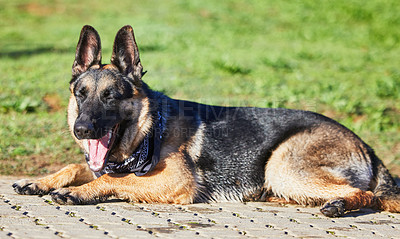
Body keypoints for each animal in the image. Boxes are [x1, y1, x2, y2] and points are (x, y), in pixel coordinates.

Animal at [12, 24, 400, 217]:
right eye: (81, 94)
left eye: (111, 96)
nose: (82, 129)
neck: (150, 130)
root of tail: (366, 145)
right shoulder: (103, 163)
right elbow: (76, 168)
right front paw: (40, 181)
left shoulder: (174, 183)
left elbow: (115, 181)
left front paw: (77, 192)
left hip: (282, 166)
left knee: (366, 194)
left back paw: (339, 205)